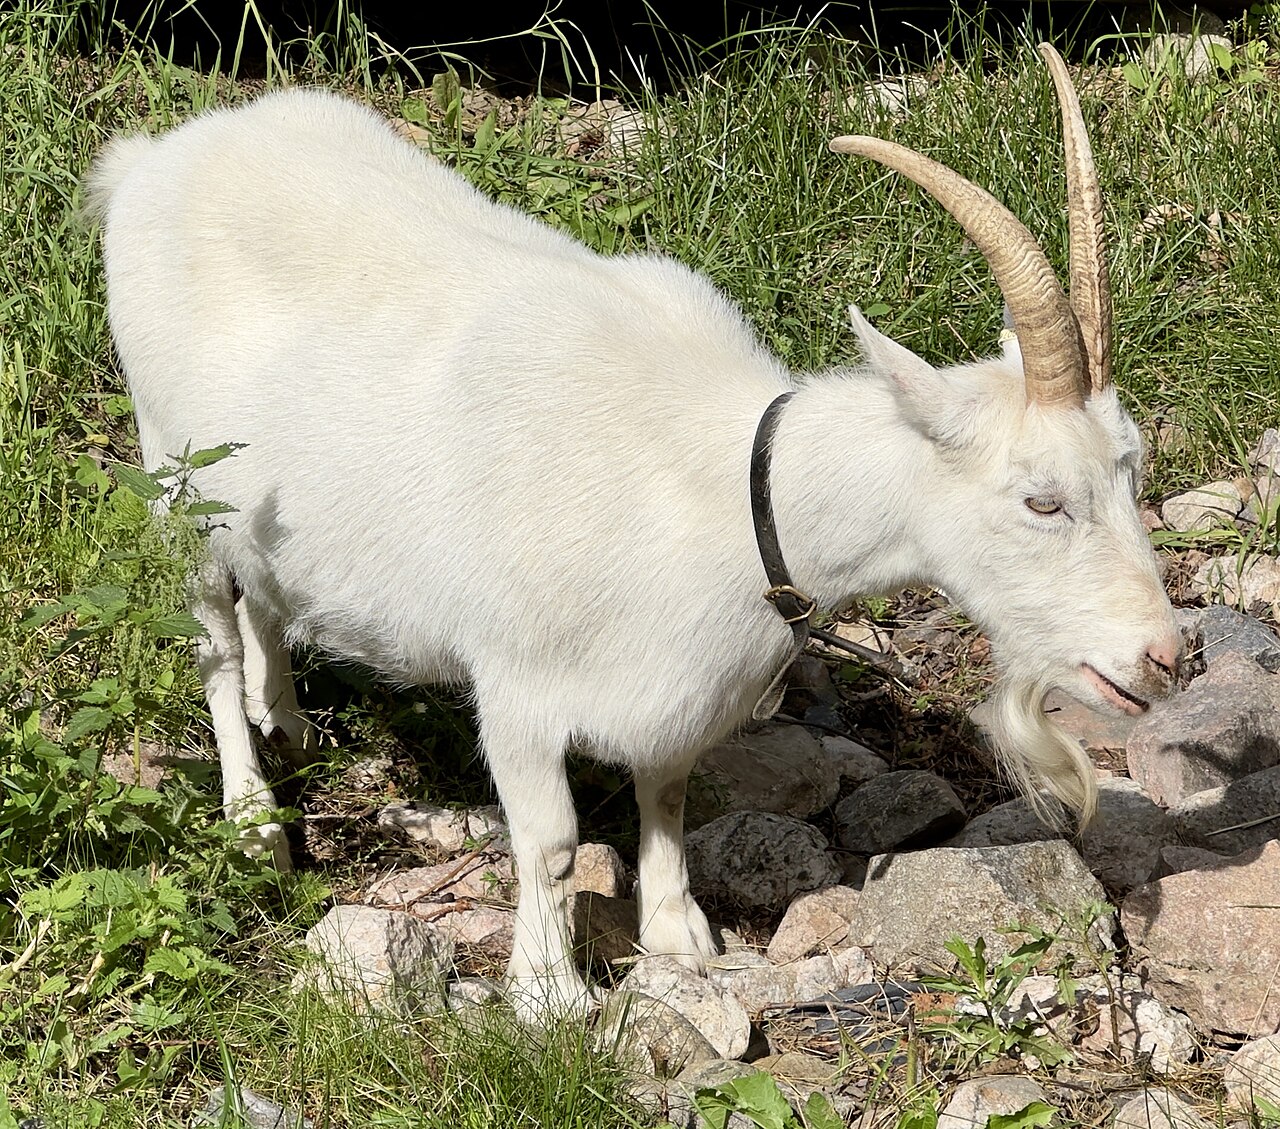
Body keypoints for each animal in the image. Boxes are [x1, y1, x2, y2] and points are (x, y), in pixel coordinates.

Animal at [83, 44, 1180, 1016]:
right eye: (1041, 498)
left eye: (1129, 467)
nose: (1166, 657)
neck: (716, 491)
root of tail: (153, 158)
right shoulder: (517, 685)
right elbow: (553, 842)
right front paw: (549, 995)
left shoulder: (678, 688)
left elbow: (667, 793)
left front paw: (677, 936)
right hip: (170, 475)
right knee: (212, 635)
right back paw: (252, 817)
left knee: (264, 597)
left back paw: (290, 720)